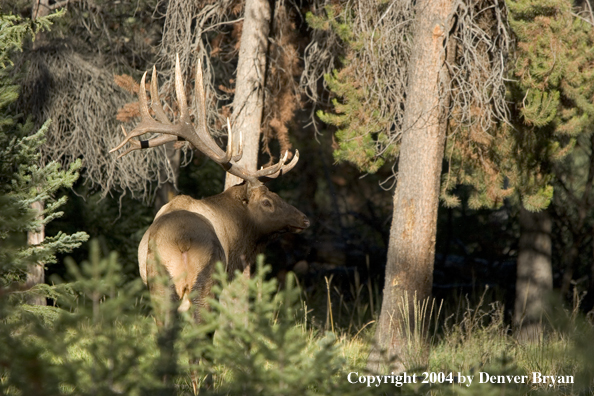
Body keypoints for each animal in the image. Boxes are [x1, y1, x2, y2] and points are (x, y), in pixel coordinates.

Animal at [109, 55, 310, 326]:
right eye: (267, 201)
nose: (304, 219)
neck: (237, 239)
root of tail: (182, 241)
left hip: (159, 283)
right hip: (207, 278)